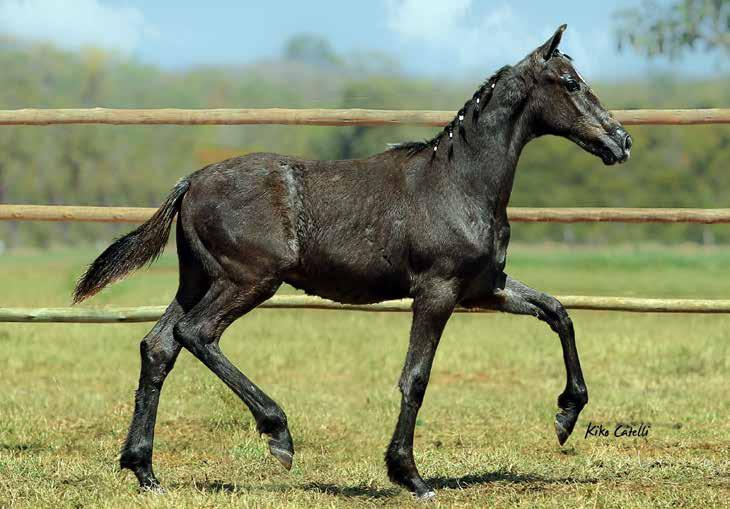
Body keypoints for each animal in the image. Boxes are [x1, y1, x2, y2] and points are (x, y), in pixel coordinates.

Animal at [75, 24, 632, 500]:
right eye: (571, 82)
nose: (620, 141)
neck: (460, 184)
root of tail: (191, 181)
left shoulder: (484, 288)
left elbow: (558, 312)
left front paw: (566, 415)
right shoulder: (438, 290)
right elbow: (416, 377)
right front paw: (409, 475)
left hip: (198, 280)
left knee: (158, 346)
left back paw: (144, 470)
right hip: (249, 280)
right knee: (196, 334)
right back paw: (278, 435)